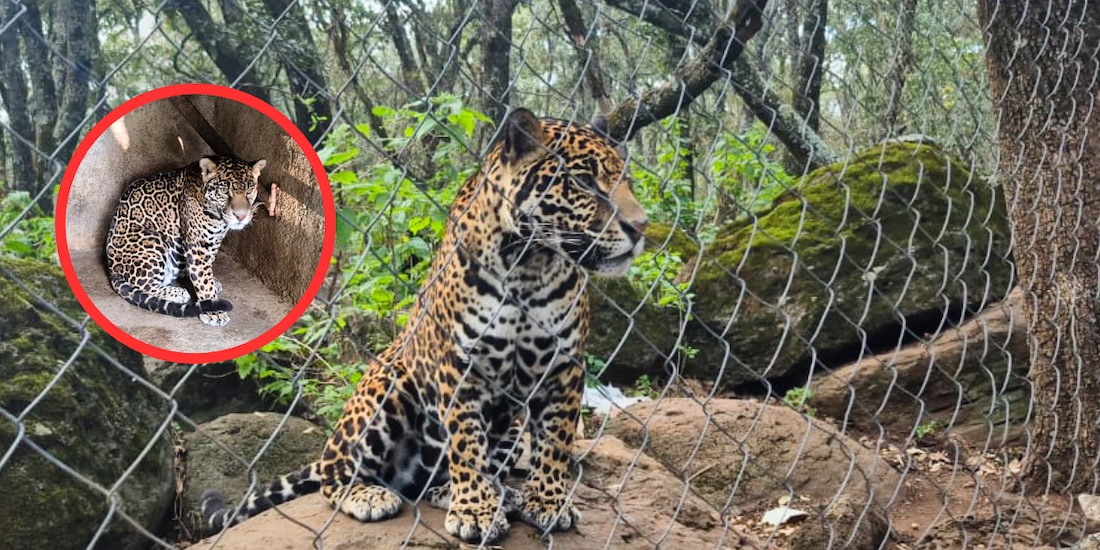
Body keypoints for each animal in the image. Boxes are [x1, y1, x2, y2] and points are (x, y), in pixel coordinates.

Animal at [105, 155, 266, 327]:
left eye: (249, 190)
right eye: (224, 191)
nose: (241, 216)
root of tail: (112, 269)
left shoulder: (214, 241)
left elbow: (206, 269)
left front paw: (211, 283)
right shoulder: (197, 246)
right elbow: (203, 278)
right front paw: (214, 311)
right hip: (152, 240)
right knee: (143, 285)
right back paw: (178, 292)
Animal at [200, 108, 648, 543]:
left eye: (626, 180)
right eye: (583, 182)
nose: (641, 226)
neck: (530, 266)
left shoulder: (563, 367)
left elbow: (555, 442)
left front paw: (549, 502)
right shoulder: (459, 366)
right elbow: (467, 444)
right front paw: (476, 513)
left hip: (507, 420)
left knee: (445, 480)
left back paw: (495, 494)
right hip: (386, 384)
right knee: (337, 476)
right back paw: (372, 495)